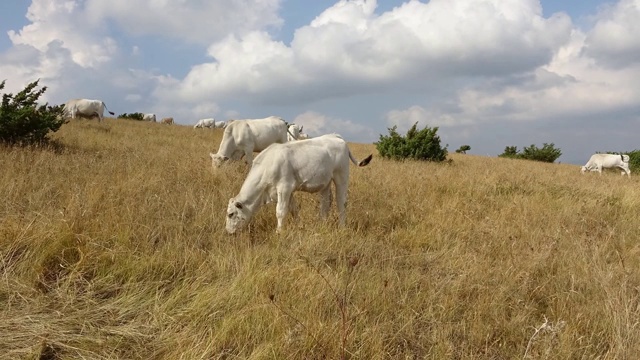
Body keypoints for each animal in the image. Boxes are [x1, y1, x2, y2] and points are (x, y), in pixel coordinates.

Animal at [228, 133, 372, 233]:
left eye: (231, 214)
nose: (228, 232)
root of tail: (335, 136)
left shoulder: (284, 188)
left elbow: (280, 211)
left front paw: (279, 232)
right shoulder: (287, 192)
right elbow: (294, 210)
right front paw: (300, 226)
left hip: (341, 177)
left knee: (341, 202)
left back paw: (342, 227)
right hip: (326, 183)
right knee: (325, 203)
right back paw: (322, 223)